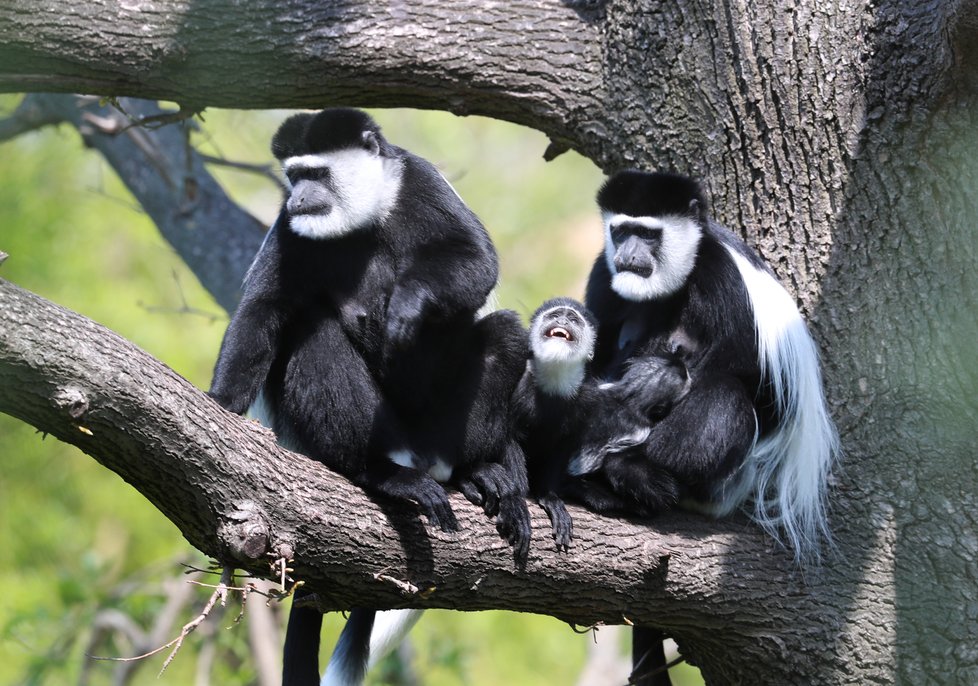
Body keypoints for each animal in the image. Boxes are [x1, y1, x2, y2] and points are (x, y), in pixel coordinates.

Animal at [208, 109, 532, 686]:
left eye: (316, 173)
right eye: (293, 176)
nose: (299, 197)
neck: (359, 220)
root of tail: (419, 454)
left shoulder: (419, 183)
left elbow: (476, 259)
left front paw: (407, 305)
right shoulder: (291, 232)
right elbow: (263, 308)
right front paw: (221, 404)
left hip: (443, 425)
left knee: (505, 334)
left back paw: (477, 472)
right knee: (314, 332)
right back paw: (379, 474)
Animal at [580, 169, 840, 684]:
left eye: (649, 234)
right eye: (621, 231)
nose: (629, 257)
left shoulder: (725, 281)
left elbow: (756, 381)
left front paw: (656, 382)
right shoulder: (604, 275)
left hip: (730, 481)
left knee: (728, 396)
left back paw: (639, 476)